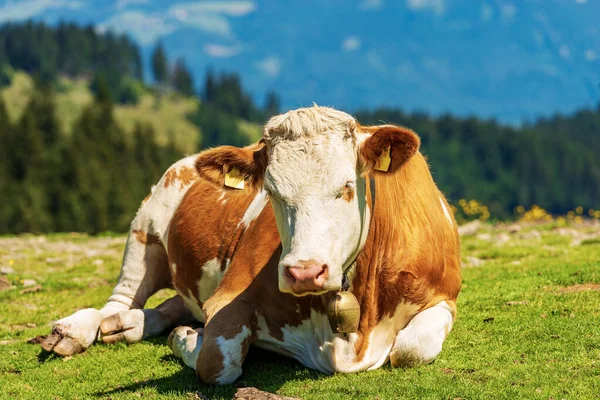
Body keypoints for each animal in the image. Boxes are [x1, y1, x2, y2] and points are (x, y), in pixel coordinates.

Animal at [42, 104, 462, 382]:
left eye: (347, 185)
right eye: (271, 191)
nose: (305, 272)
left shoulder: (444, 297)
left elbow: (410, 350)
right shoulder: (227, 298)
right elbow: (216, 363)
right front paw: (187, 339)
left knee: (166, 304)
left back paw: (129, 324)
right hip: (143, 233)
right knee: (120, 298)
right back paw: (77, 330)